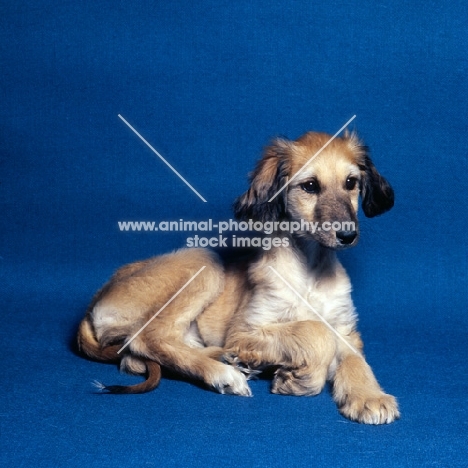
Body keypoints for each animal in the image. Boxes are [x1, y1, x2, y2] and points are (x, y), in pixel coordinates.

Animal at [77, 129, 398, 424]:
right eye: (309, 186)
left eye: (351, 183)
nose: (347, 235)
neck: (311, 269)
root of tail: (97, 298)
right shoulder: (244, 331)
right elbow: (316, 332)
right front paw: (300, 380)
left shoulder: (345, 328)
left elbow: (355, 360)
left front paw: (369, 396)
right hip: (204, 262)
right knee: (146, 339)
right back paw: (225, 373)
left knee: (134, 358)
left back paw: (232, 360)